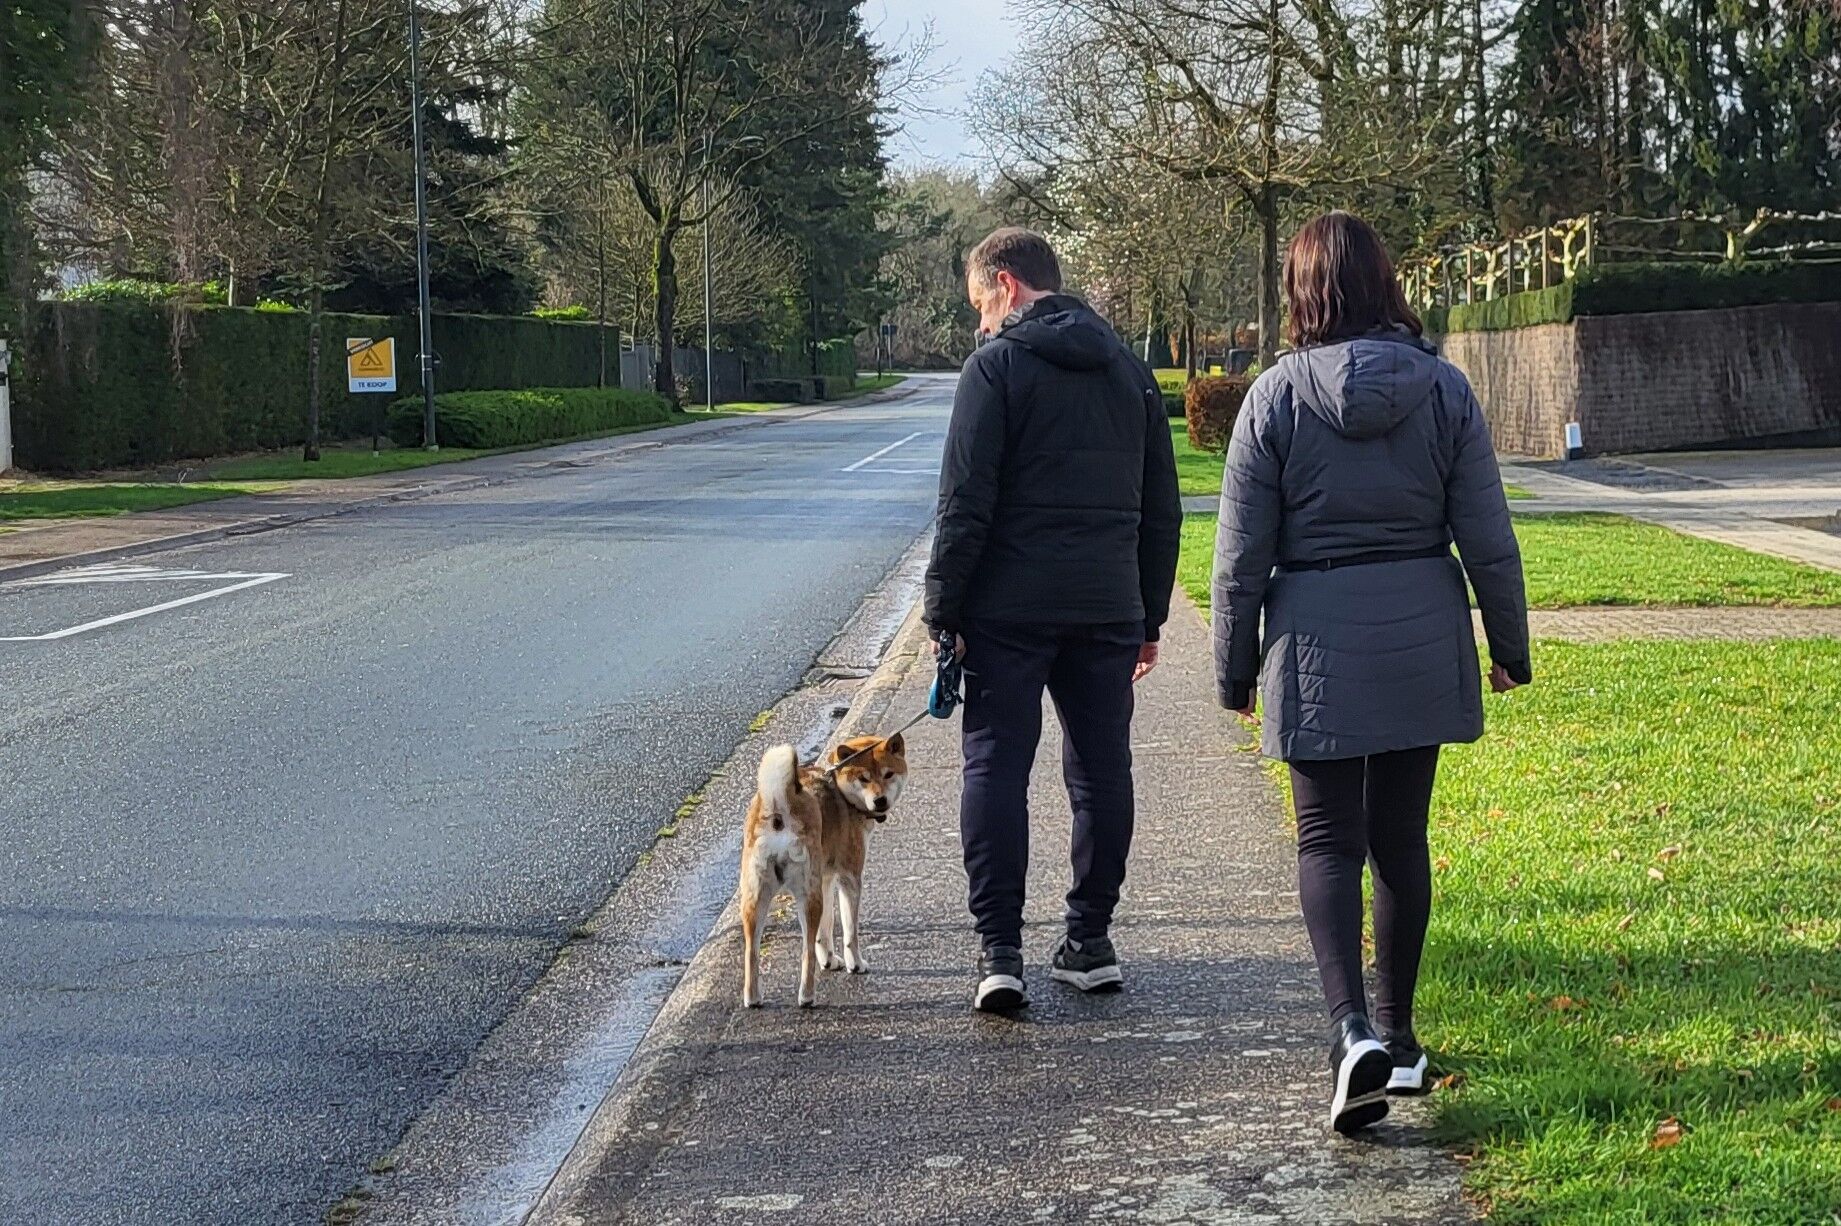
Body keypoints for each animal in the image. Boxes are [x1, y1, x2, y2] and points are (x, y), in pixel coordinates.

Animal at [739, 734, 907, 1008]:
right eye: (864, 779)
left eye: (888, 774)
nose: (880, 800)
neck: (840, 789)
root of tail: (779, 808)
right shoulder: (850, 877)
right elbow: (850, 931)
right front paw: (855, 964)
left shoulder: (826, 878)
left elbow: (825, 928)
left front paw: (828, 959)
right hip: (807, 895)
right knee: (805, 952)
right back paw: (807, 996)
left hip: (758, 897)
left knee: (751, 951)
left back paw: (753, 998)